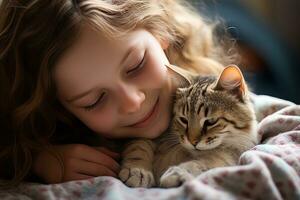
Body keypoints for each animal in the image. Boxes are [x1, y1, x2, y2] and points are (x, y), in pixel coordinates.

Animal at [119, 64, 258, 188]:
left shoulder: (230, 155)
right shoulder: (150, 132)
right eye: (183, 120)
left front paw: (178, 172)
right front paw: (137, 171)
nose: (192, 142)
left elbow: (208, 162)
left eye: (211, 121)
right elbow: (139, 147)